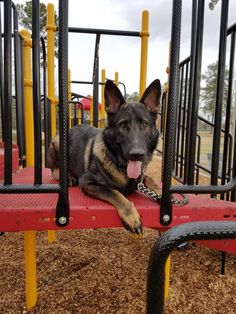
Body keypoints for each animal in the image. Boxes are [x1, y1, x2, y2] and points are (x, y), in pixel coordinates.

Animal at [48, 79, 162, 234]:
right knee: (54, 170)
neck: (119, 165)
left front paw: (161, 193)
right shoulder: (87, 181)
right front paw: (131, 215)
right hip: (57, 143)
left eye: (144, 124)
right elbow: (115, 193)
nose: (137, 154)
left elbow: (150, 180)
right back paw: (68, 177)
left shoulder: (140, 176)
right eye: (123, 125)